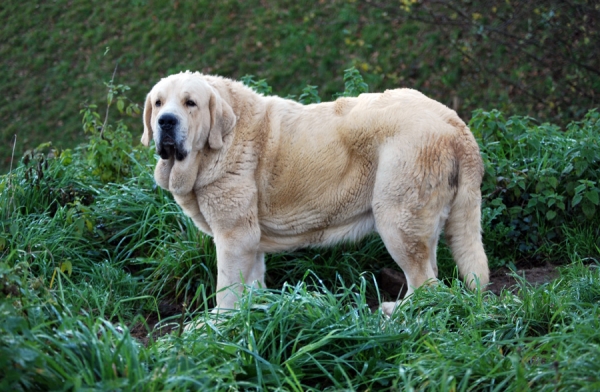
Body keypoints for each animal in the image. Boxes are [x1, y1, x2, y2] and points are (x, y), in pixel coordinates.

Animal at [141, 71, 488, 316]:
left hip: (396, 217)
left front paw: (216, 326)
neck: (222, 140)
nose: (166, 121)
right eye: (158, 103)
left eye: (190, 103)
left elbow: (226, 289)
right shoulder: (249, 238)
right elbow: (251, 282)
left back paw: (399, 314)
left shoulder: (234, 236)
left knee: (427, 282)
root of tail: (454, 122)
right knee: (432, 271)